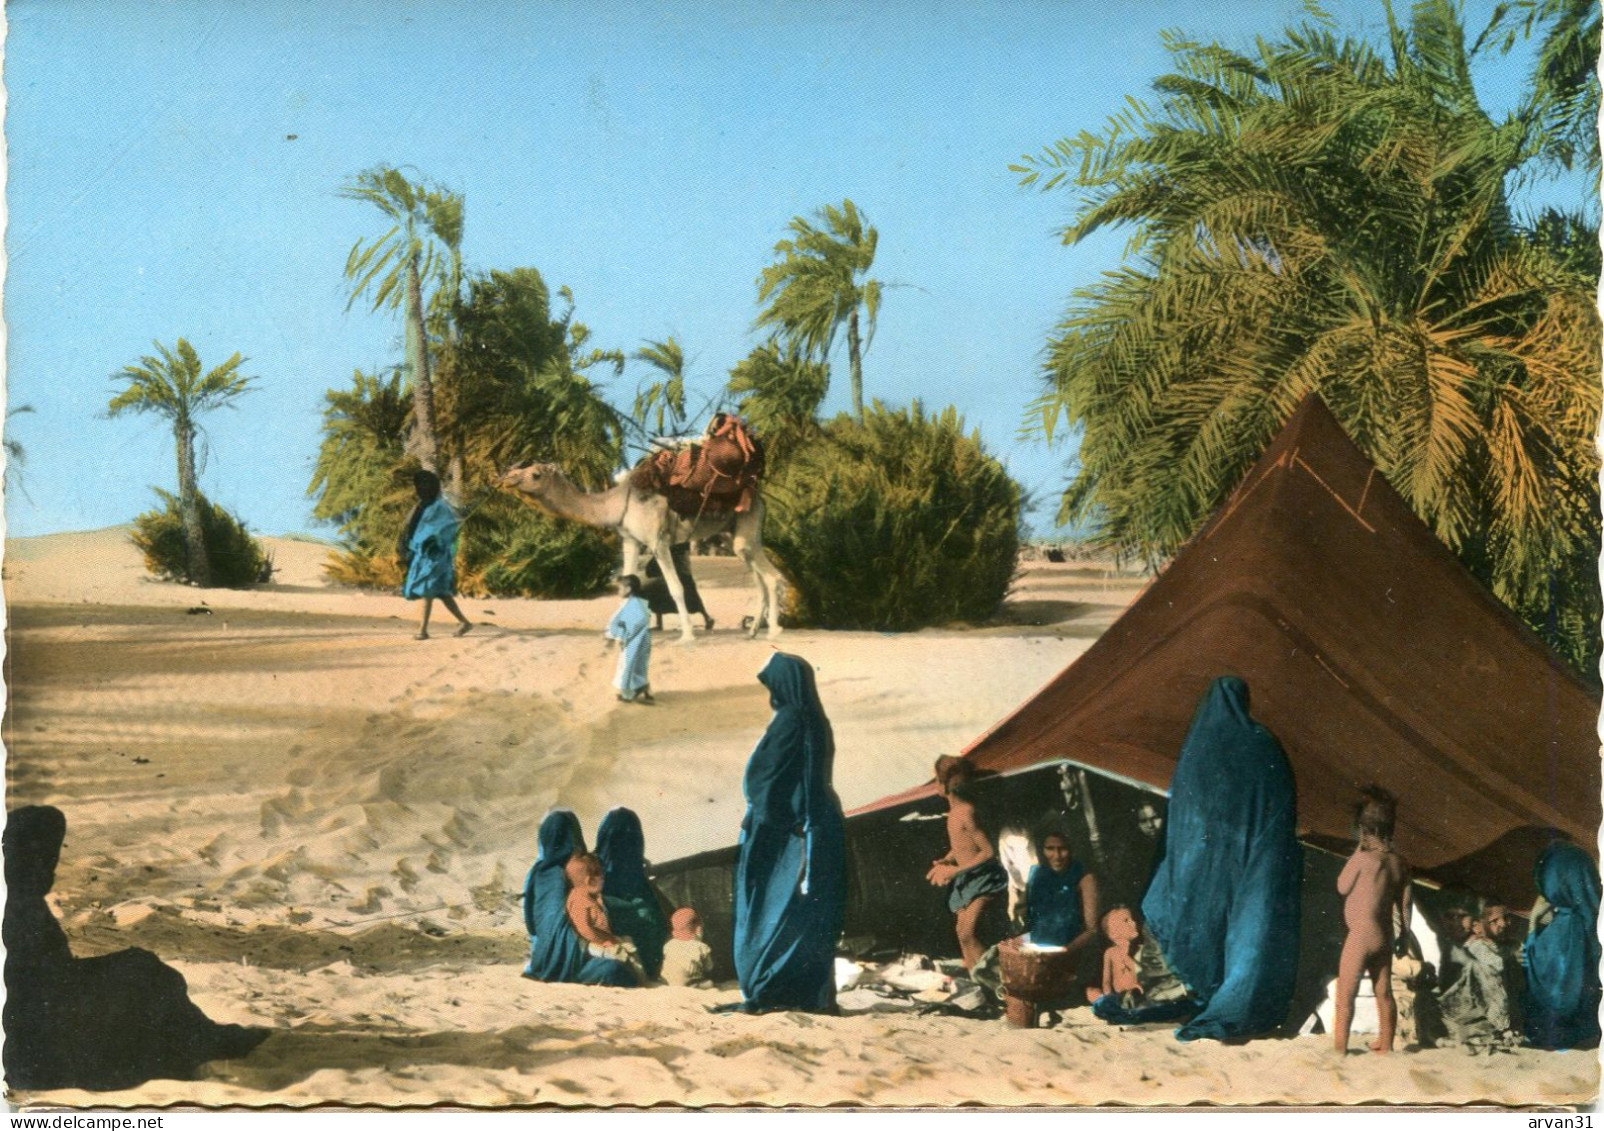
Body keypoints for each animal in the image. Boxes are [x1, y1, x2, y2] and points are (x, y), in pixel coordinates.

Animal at [494, 458, 782, 635]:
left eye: (534, 474)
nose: (506, 477)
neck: (617, 502)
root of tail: (759, 497)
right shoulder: (630, 541)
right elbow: (627, 582)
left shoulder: (658, 541)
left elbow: (676, 588)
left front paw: (687, 635)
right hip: (734, 536)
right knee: (760, 578)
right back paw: (754, 630)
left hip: (746, 530)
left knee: (772, 576)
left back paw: (773, 631)